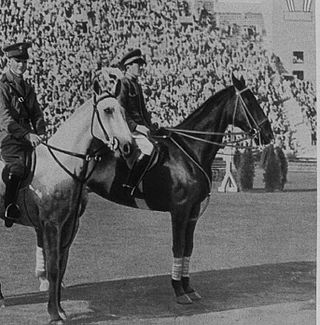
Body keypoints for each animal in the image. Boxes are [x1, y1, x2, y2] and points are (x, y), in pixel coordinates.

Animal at [35, 74, 274, 308]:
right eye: (250, 101)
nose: (269, 135)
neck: (189, 151)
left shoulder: (193, 212)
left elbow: (188, 248)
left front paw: (189, 287)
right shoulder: (180, 211)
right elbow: (178, 247)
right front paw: (179, 290)